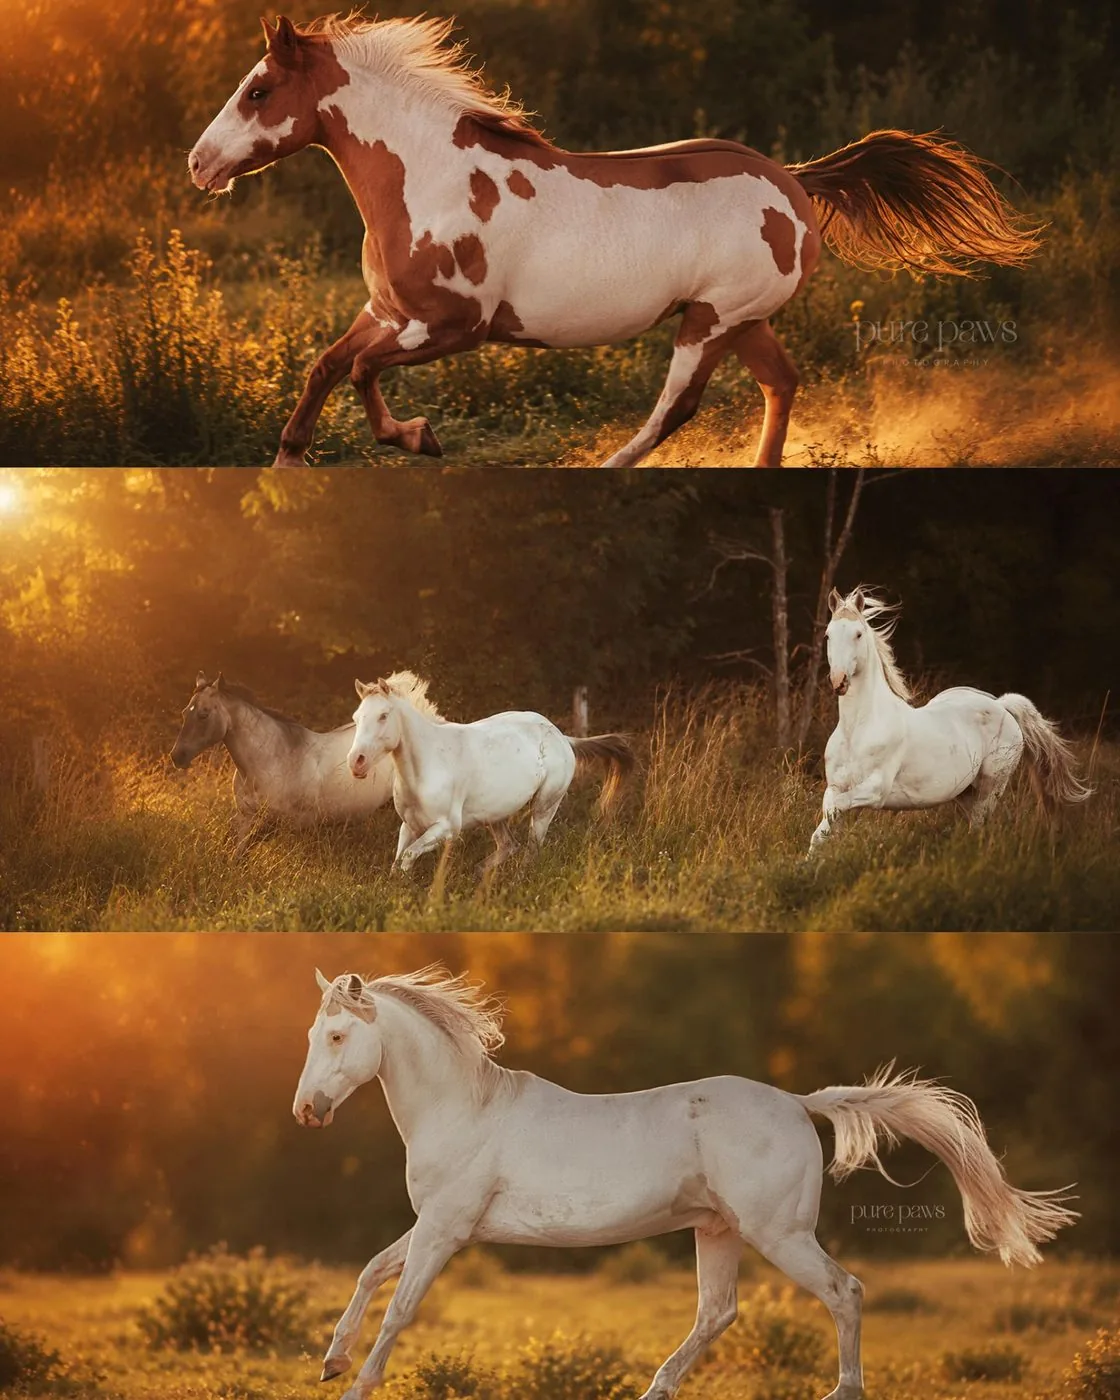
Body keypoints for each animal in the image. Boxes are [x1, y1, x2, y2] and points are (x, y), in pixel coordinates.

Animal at [169, 669, 443, 848]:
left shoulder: (277, 823)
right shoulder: (244, 817)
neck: (272, 760)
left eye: (204, 714)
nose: (177, 756)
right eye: (184, 712)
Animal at [188, 15, 1041, 468]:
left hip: (711, 322)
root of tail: (794, 183)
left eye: (259, 90)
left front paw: (420, 438)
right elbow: (326, 365)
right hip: (743, 321)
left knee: (679, 407)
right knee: (782, 383)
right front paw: (288, 457)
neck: (427, 176)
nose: (199, 163)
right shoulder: (390, 311)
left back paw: (611, 465)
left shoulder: (453, 328)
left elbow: (362, 373)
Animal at [293, 966, 1076, 1400]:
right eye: (311, 1035)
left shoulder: (445, 1231)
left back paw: (841, 1392)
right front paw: (331, 1362)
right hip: (718, 1231)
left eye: (336, 1037)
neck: (467, 1108)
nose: (306, 1111)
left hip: (778, 1233)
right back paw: (654, 1390)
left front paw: (356, 1385)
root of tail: (798, 1103)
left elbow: (399, 1307)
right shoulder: (434, 1225)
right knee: (716, 1314)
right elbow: (370, 1272)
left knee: (844, 1291)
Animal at [348, 676, 633, 874]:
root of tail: (563, 738)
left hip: (544, 806)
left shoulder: (447, 829)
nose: (356, 762)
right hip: (496, 814)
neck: (426, 767)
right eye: (357, 717)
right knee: (509, 845)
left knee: (531, 850)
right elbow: (397, 863)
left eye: (383, 716)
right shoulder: (409, 826)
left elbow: (407, 857)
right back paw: (480, 876)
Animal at [810, 588, 1092, 852]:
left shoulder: (875, 789)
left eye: (858, 634)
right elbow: (823, 828)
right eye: (828, 636)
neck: (857, 729)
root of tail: (1002, 705)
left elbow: (833, 810)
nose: (839, 681)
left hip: (991, 788)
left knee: (980, 825)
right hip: (965, 793)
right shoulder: (837, 787)